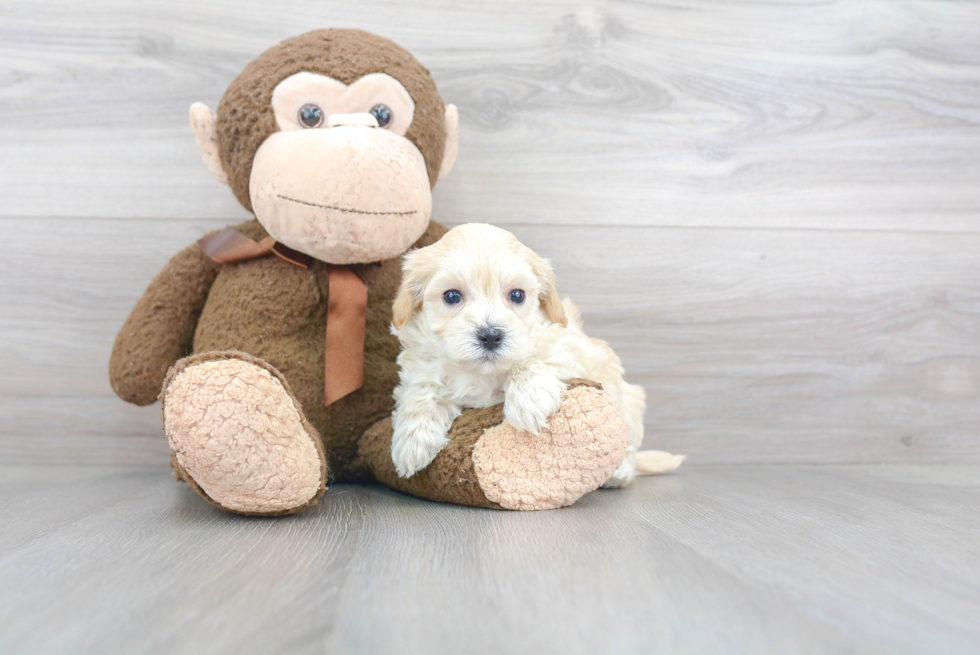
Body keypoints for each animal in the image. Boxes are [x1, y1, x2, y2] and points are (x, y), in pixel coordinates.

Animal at [388, 223, 680, 484]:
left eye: (517, 295)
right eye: (451, 296)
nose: (491, 335)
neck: (484, 372)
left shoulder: (564, 348)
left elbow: (534, 359)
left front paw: (529, 401)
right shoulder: (421, 368)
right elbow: (421, 391)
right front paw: (412, 442)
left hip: (628, 404)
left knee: (629, 449)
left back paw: (619, 473)